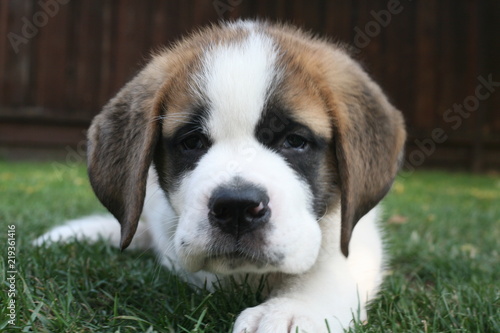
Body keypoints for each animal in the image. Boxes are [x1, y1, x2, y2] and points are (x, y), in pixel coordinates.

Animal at [38, 19, 406, 330]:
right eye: (192, 142)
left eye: (295, 141)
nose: (237, 208)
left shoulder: (353, 232)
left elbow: (331, 269)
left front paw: (291, 310)